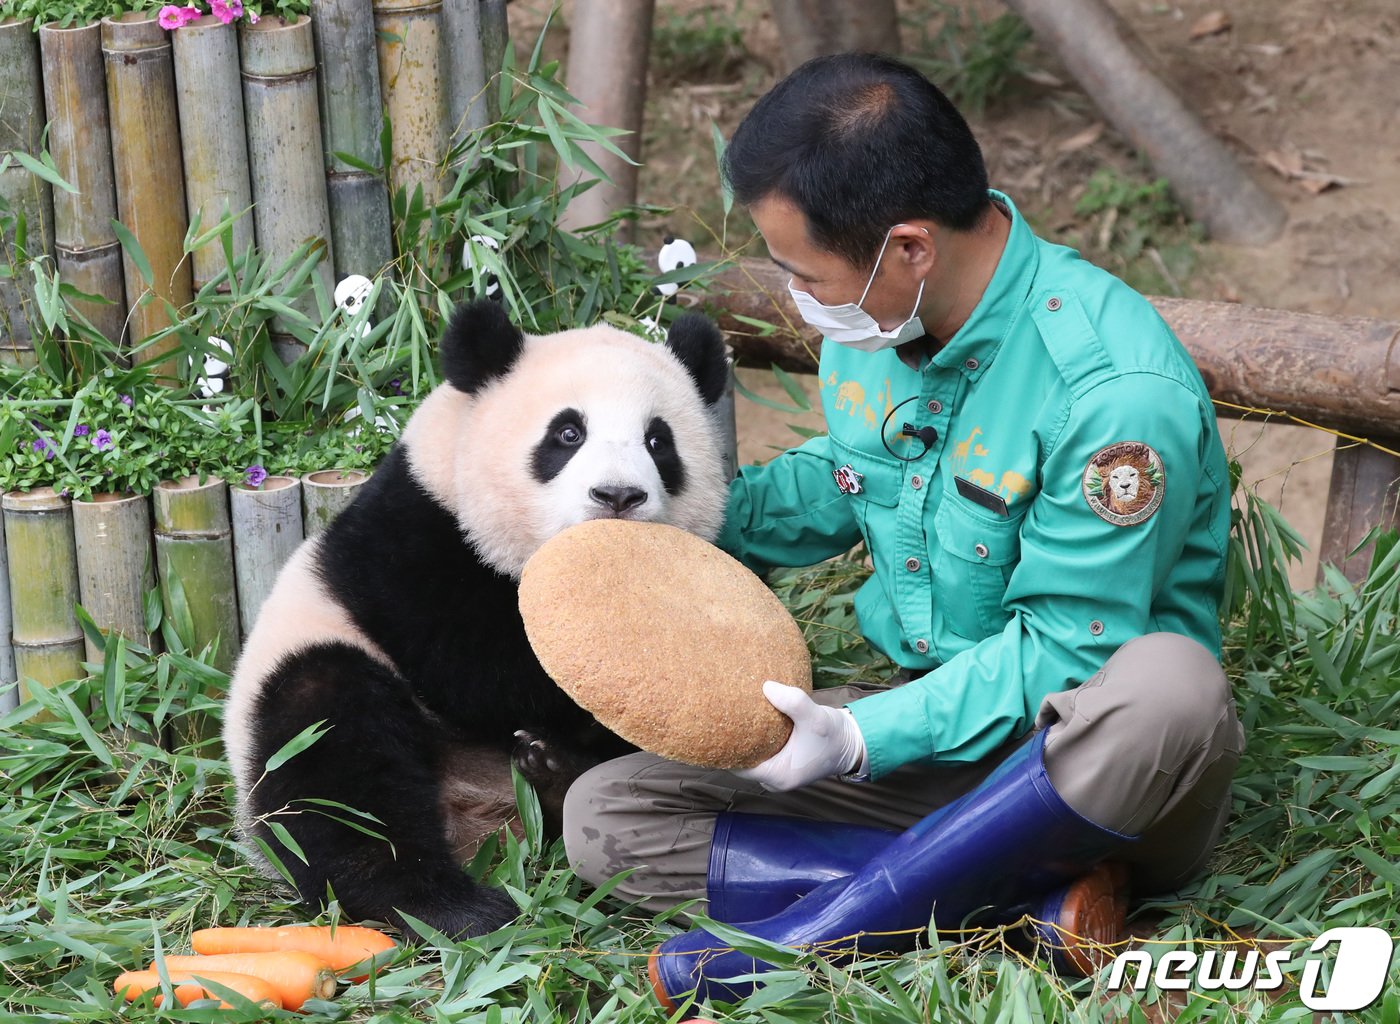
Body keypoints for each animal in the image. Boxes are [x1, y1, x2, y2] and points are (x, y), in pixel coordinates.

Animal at [224, 296, 728, 935]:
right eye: (568, 433)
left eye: (659, 442)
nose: (618, 496)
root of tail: (484, 819)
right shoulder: (416, 539)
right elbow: (475, 668)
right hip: (299, 685)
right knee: (332, 764)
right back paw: (446, 904)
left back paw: (554, 774)